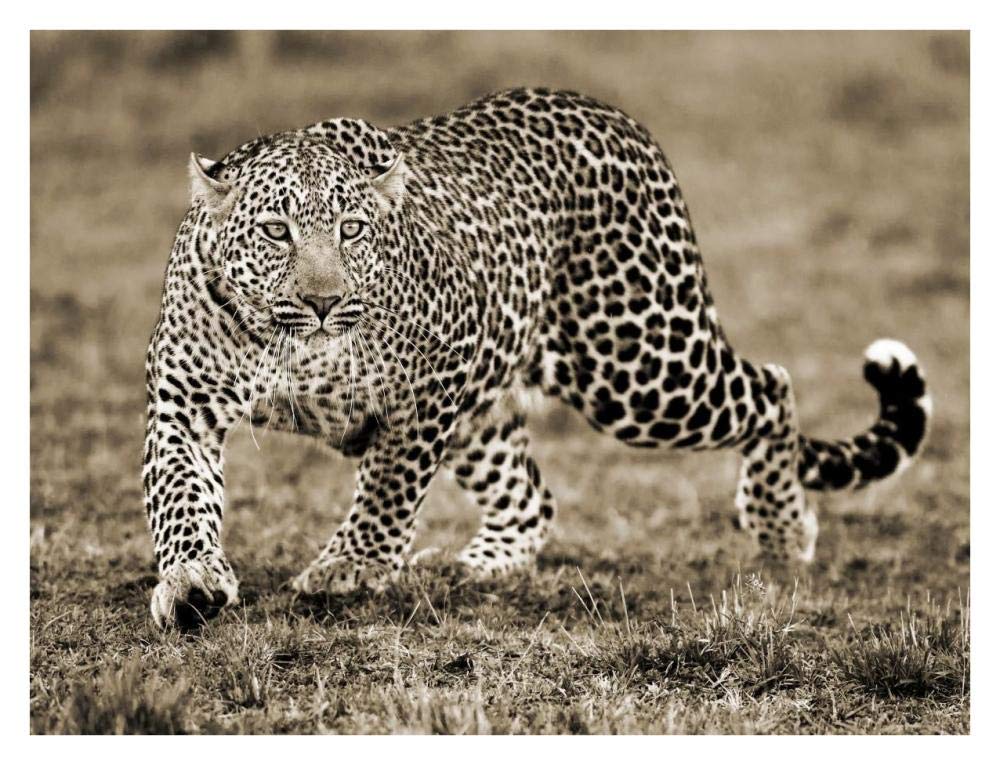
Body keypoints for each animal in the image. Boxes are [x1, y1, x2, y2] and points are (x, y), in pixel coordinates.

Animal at [144, 87, 931, 629]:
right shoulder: (182, 401)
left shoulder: (433, 380)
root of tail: (616, 116)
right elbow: (179, 496)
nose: (324, 302)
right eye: (276, 230)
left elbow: (389, 487)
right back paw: (480, 566)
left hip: (641, 366)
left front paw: (349, 566)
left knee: (771, 387)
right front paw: (192, 582)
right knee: (530, 495)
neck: (294, 348)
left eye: (353, 229)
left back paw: (781, 528)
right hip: (498, 405)